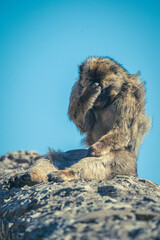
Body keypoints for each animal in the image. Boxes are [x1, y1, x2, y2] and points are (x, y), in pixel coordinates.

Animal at [8, 56, 151, 188]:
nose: (96, 97)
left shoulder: (128, 97)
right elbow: (84, 124)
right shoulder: (78, 87)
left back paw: (66, 174)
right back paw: (30, 177)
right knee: (54, 157)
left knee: (102, 160)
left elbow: (122, 131)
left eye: (102, 86)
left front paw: (96, 148)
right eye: (91, 82)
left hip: (125, 163)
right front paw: (88, 95)